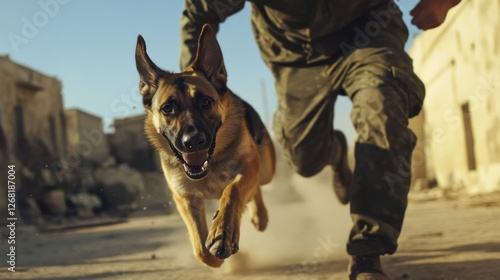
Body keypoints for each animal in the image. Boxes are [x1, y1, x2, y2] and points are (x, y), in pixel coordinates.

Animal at [135, 24, 276, 266]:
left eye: (205, 102)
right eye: (167, 109)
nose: (192, 141)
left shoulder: (246, 169)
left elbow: (232, 191)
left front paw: (223, 232)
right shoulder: (185, 199)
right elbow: (201, 250)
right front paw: (223, 255)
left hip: (266, 170)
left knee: (258, 184)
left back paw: (259, 215)